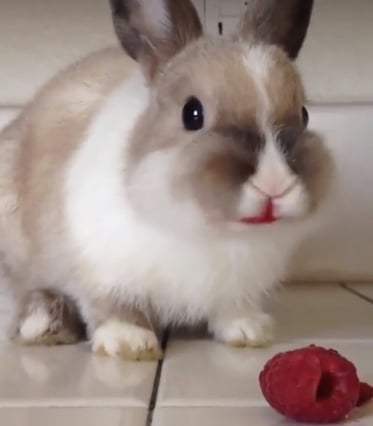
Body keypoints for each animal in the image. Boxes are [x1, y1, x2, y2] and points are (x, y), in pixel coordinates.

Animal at [0, 0, 332, 360]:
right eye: (192, 113)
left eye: (304, 115)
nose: (274, 185)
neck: (204, 229)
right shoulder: (101, 270)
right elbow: (114, 306)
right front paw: (129, 342)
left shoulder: (238, 287)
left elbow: (233, 309)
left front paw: (248, 331)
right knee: (25, 291)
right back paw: (45, 324)